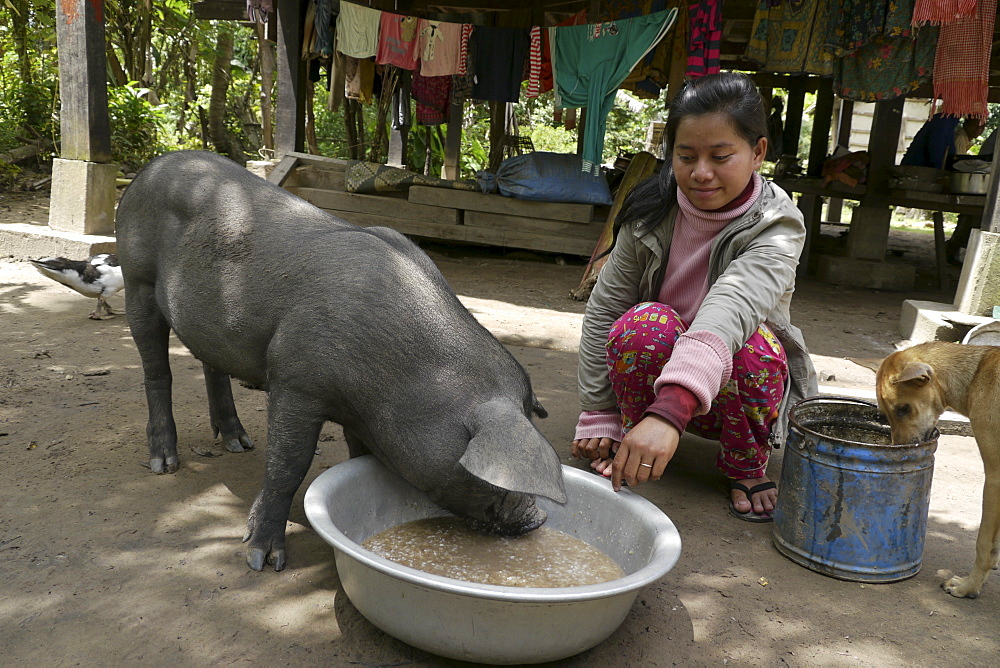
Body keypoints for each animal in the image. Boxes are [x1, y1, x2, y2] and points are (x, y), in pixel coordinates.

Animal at [880, 342, 996, 596]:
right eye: (886, 414)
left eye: (903, 409)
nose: (897, 449)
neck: (976, 376)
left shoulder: (995, 478)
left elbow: (984, 544)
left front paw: (968, 587)